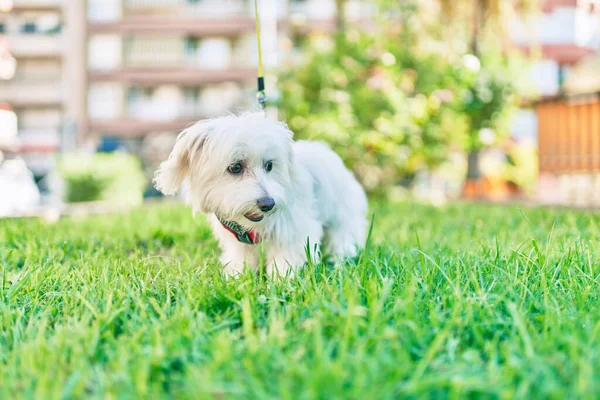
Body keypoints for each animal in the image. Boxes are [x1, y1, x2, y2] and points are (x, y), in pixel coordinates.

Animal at [152, 111, 368, 276]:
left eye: (269, 165)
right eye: (235, 167)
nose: (268, 203)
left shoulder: (295, 232)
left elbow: (285, 261)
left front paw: (281, 284)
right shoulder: (239, 244)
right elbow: (241, 262)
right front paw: (237, 279)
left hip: (343, 218)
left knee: (343, 239)